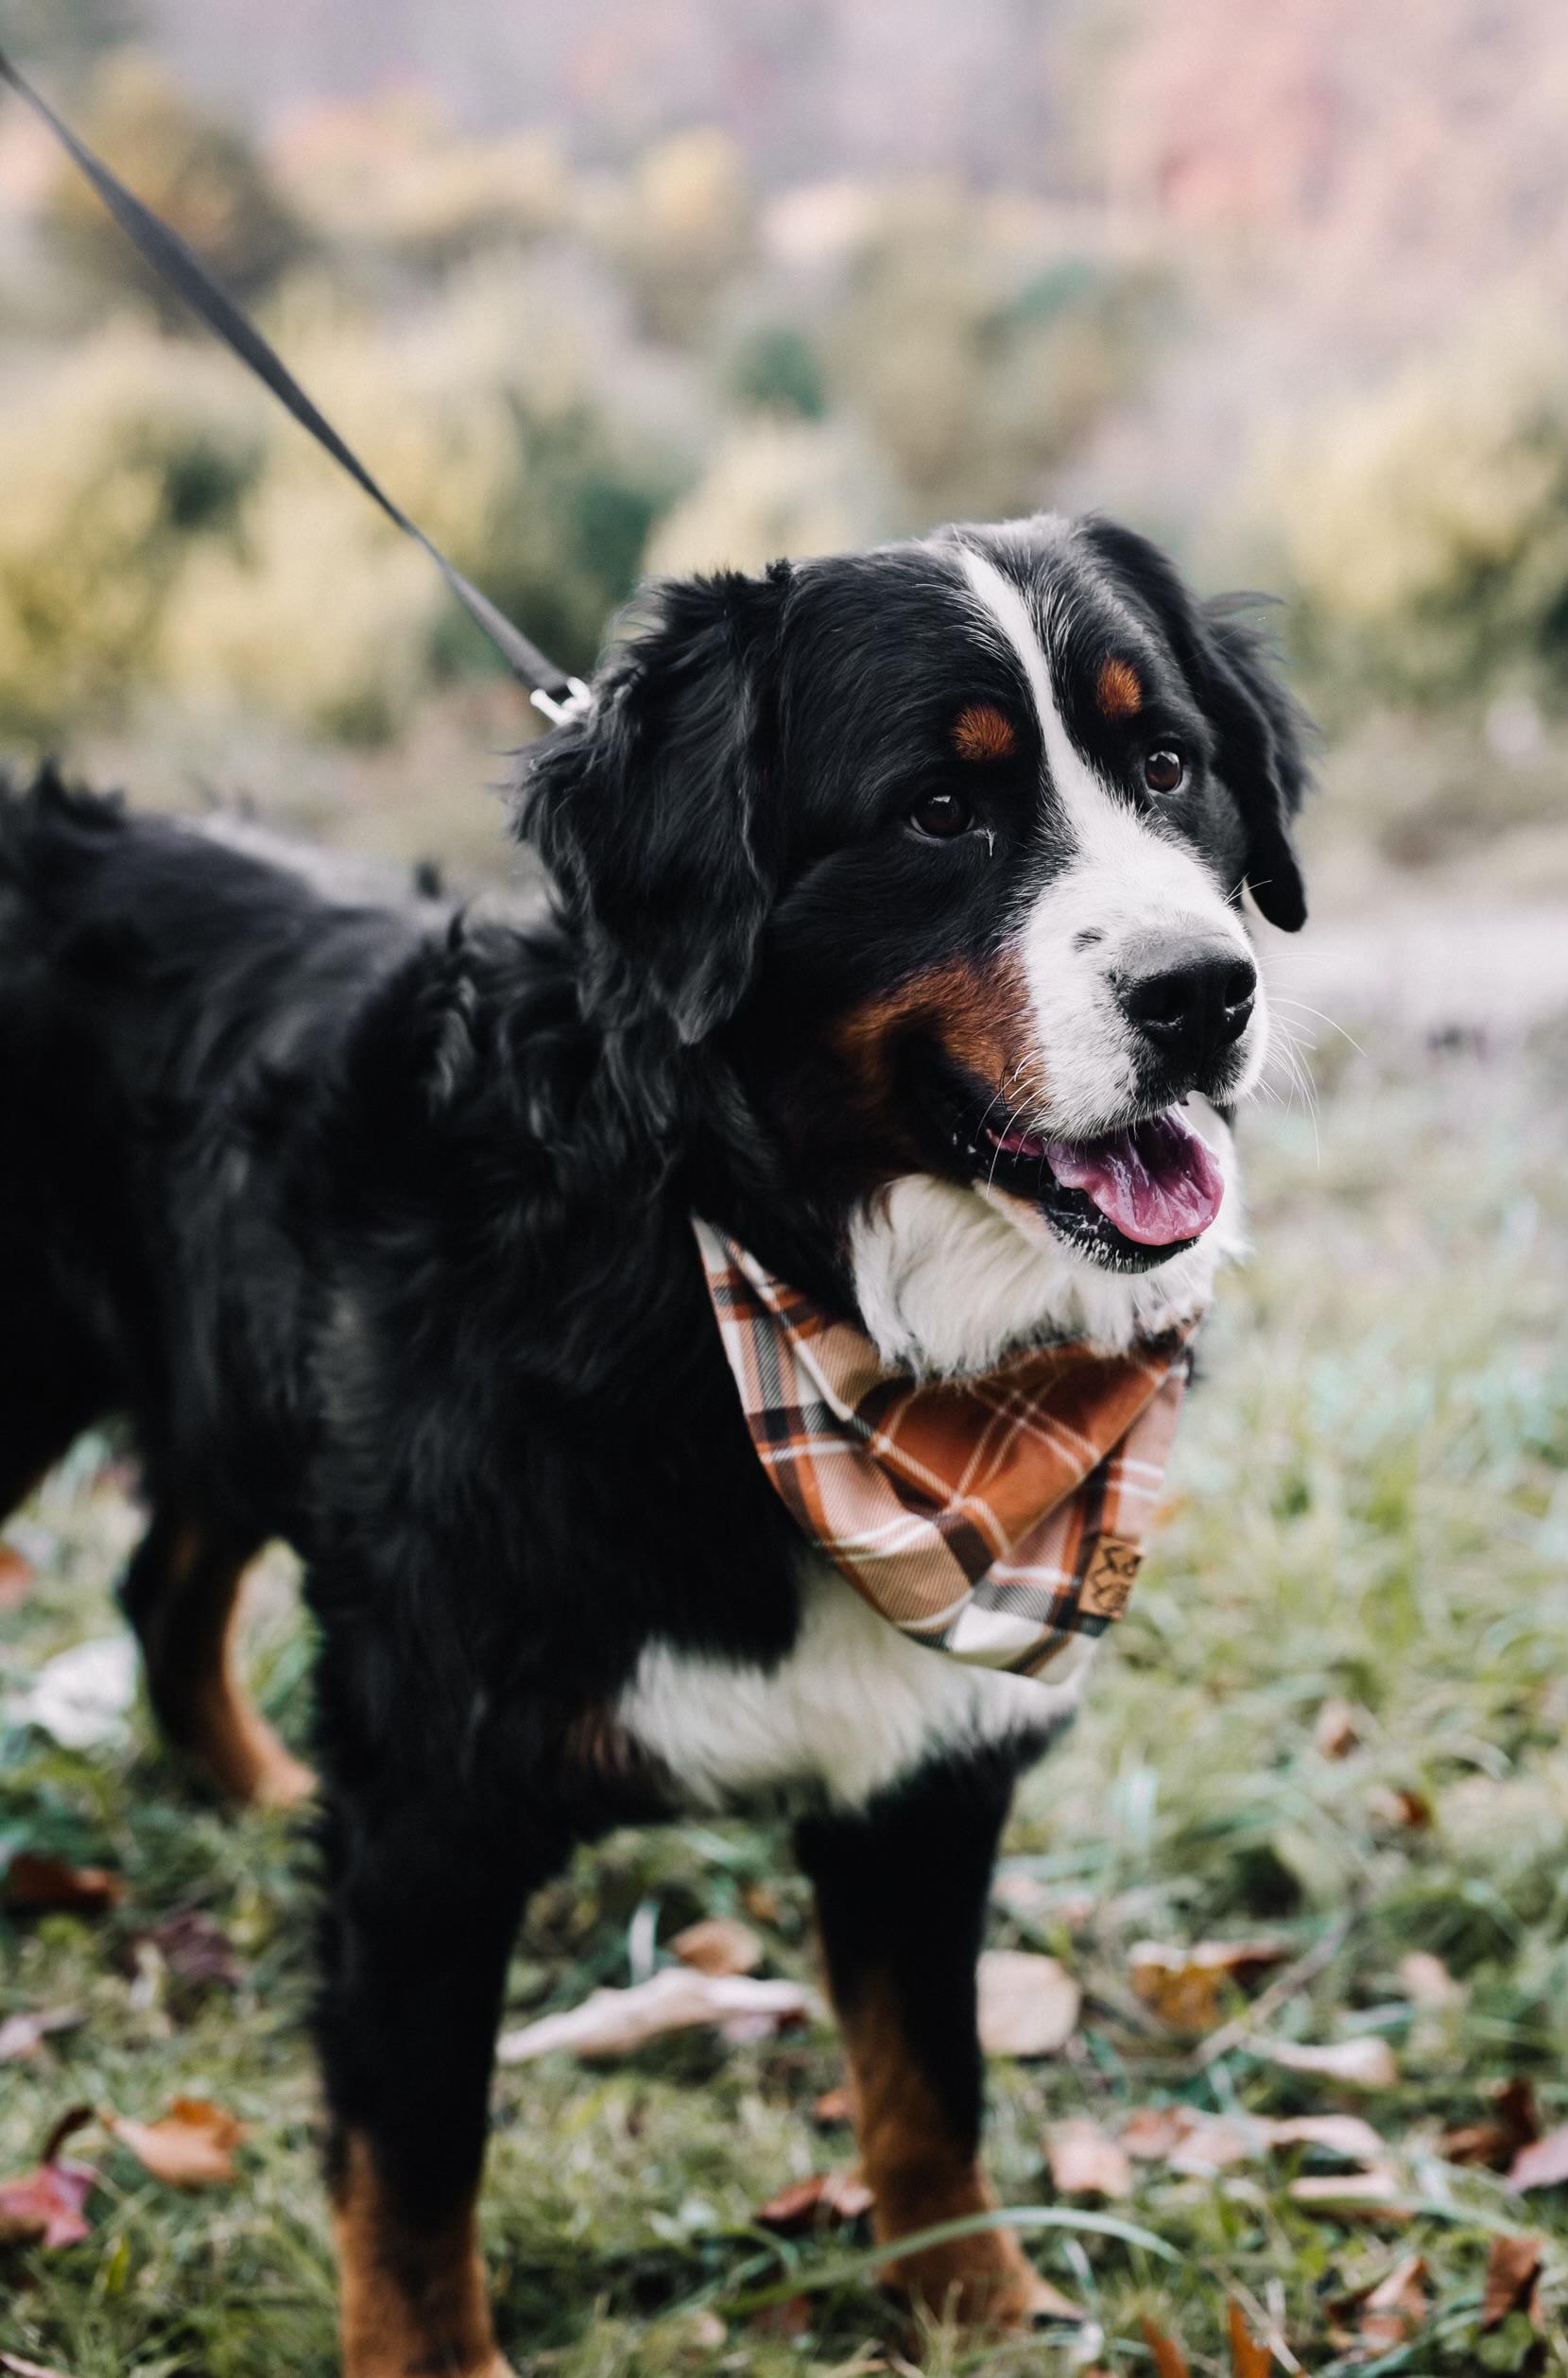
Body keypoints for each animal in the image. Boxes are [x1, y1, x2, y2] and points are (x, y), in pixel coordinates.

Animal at [0, 509, 1307, 2375]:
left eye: (1166, 765)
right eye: (938, 809)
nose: (1205, 993)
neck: (764, 1285)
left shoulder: (921, 1770)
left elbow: (930, 2089)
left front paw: (971, 2310)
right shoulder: (429, 1804)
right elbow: (414, 2169)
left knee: (165, 1580)